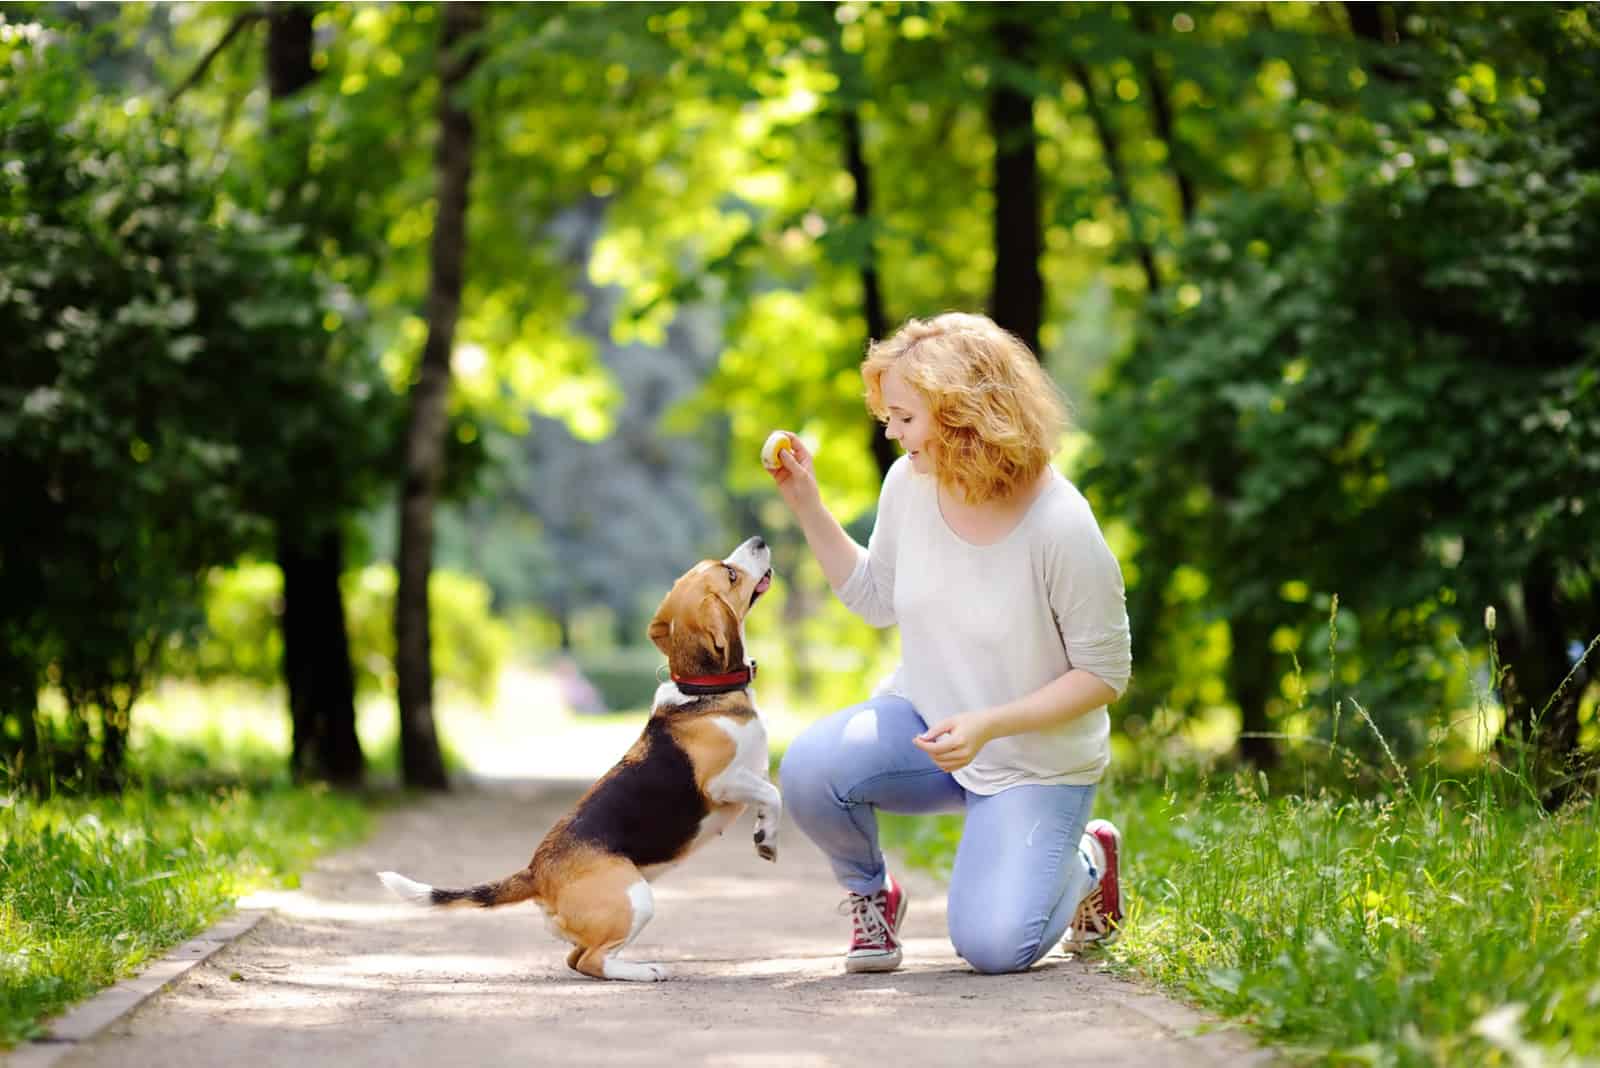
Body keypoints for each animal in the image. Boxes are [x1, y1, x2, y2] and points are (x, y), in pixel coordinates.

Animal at [374, 537, 774, 978]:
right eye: (731, 574)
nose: (758, 541)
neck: (703, 690)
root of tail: (536, 872)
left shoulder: (751, 775)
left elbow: (767, 793)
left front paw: (763, 834)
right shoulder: (721, 782)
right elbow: (773, 793)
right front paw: (768, 838)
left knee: (576, 959)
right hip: (636, 898)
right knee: (593, 961)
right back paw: (643, 970)